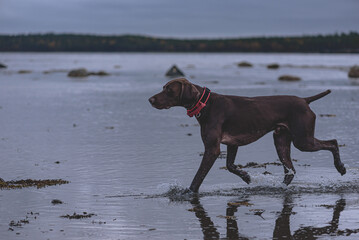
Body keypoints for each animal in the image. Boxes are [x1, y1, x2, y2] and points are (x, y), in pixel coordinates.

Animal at [148, 79, 346, 193]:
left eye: (169, 90)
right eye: (163, 88)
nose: (150, 99)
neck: (205, 104)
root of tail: (305, 100)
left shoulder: (212, 149)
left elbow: (199, 177)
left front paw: (188, 193)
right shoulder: (231, 144)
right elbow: (230, 166)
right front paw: (247, 177)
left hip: (303, 140)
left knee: (333, 142)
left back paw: (341, 168)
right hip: (281, 140)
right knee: (290, 171)